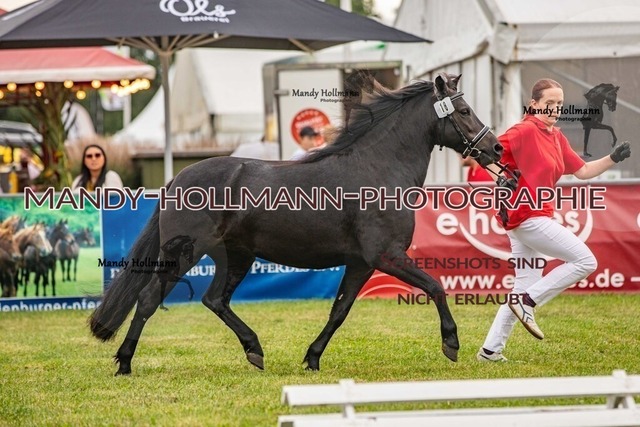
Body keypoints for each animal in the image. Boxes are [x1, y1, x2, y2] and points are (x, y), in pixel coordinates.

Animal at [89, 73, 504, 376]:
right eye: (463, 110)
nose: (496, 148)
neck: (380, 170)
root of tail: (177, 179)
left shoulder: (361, 263)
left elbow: (339, 311)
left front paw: (312, 357)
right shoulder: (386, 256)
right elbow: (436, 287)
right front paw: (451, 343)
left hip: (235, 256)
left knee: (215, 299)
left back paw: (255, 350)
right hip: (184, 254)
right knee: (149, 299)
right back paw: (124, 362)